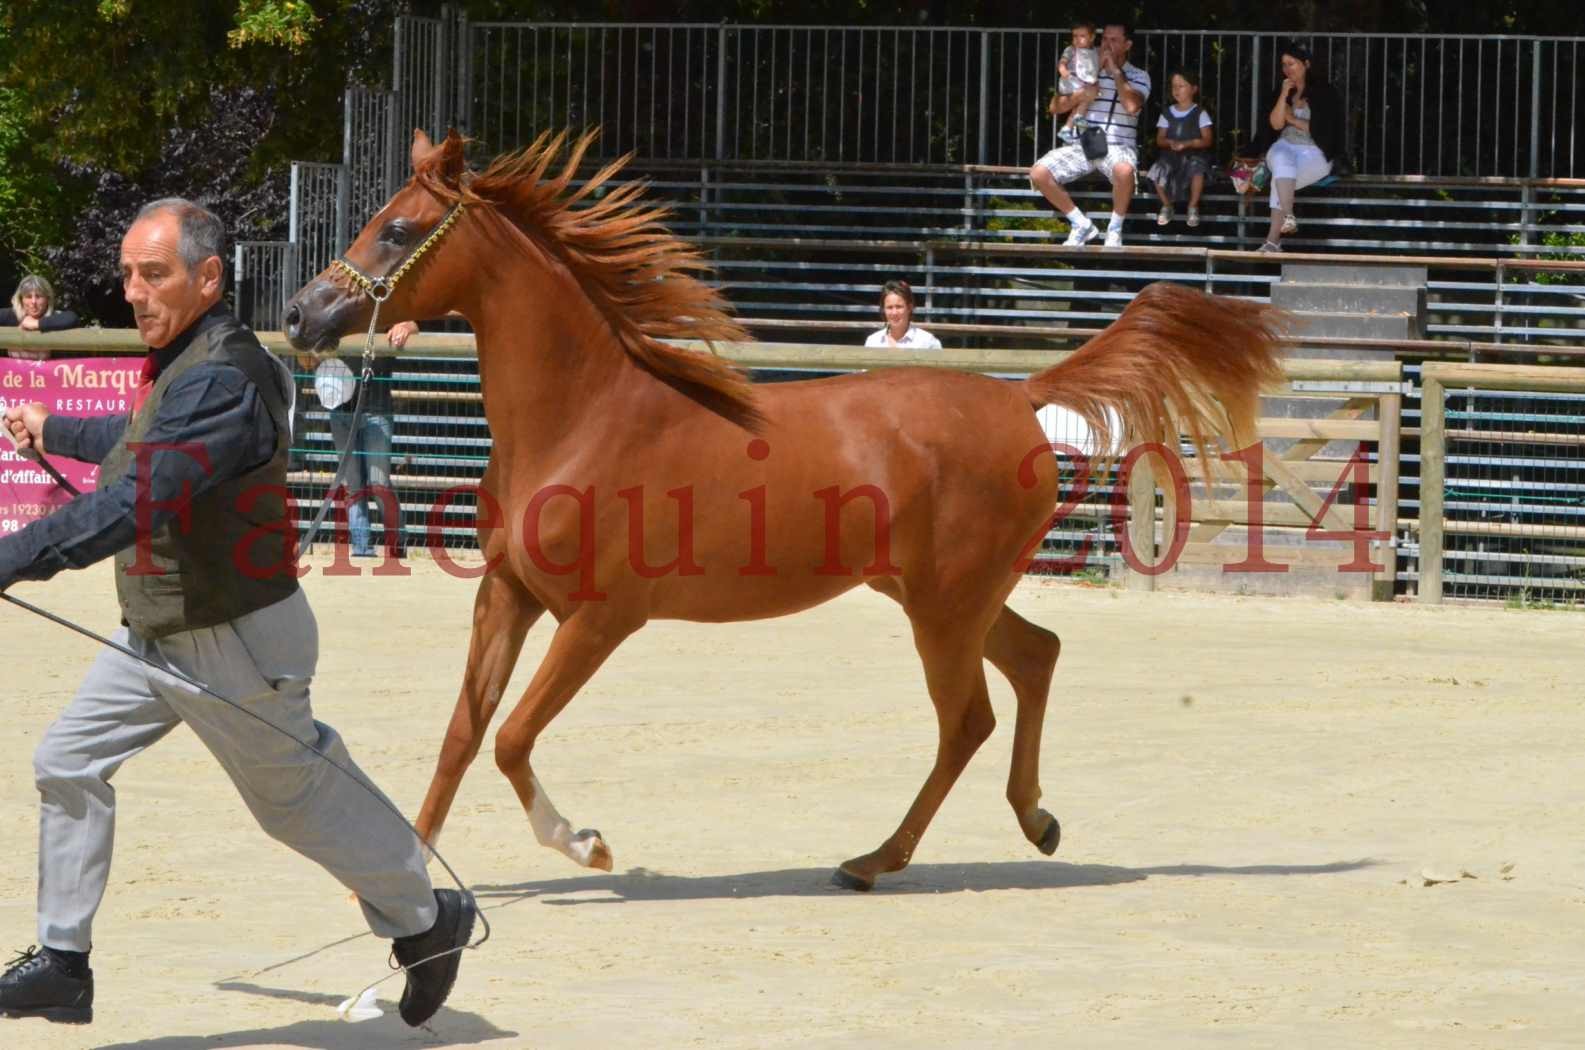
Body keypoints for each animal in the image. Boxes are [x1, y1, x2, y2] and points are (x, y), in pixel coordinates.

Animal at [282, 127, 1274, 894]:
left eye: (397, 229)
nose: (300, 314)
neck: (584, 419)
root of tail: (1019, 396)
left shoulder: (599, 620)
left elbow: (514, 737)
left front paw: (587, 844)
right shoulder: (507, 597)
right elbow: (462, 736)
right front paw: (406, 873)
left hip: (944, 606)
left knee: (968, 720)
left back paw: (874, 861)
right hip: (939, 596)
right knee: (1035, 658)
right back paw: (1031, 823)